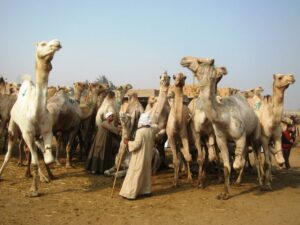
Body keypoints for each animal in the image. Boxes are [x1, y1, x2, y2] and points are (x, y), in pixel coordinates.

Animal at [0, 39, 61, 197]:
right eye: (43, 44)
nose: (57, 43)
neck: (36, 112)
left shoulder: (46, 131)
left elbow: (47, 158)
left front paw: (45, 176)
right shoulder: (27, 133)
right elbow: (34, 161)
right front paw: (34, 190)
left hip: (35, 135)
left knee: (36, 150)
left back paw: (44, 176)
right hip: (13, 127)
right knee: (9, 152)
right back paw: (2, 172)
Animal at [182, 55, 262, 199]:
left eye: (200, 61)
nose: (184, 59)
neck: (223, 117)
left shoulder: (239, 136)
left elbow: (236, 164)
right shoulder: (219, 139)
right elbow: (226, 166)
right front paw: (224, 193)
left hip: (255, 134)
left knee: (257, 157)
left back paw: (263, 184)